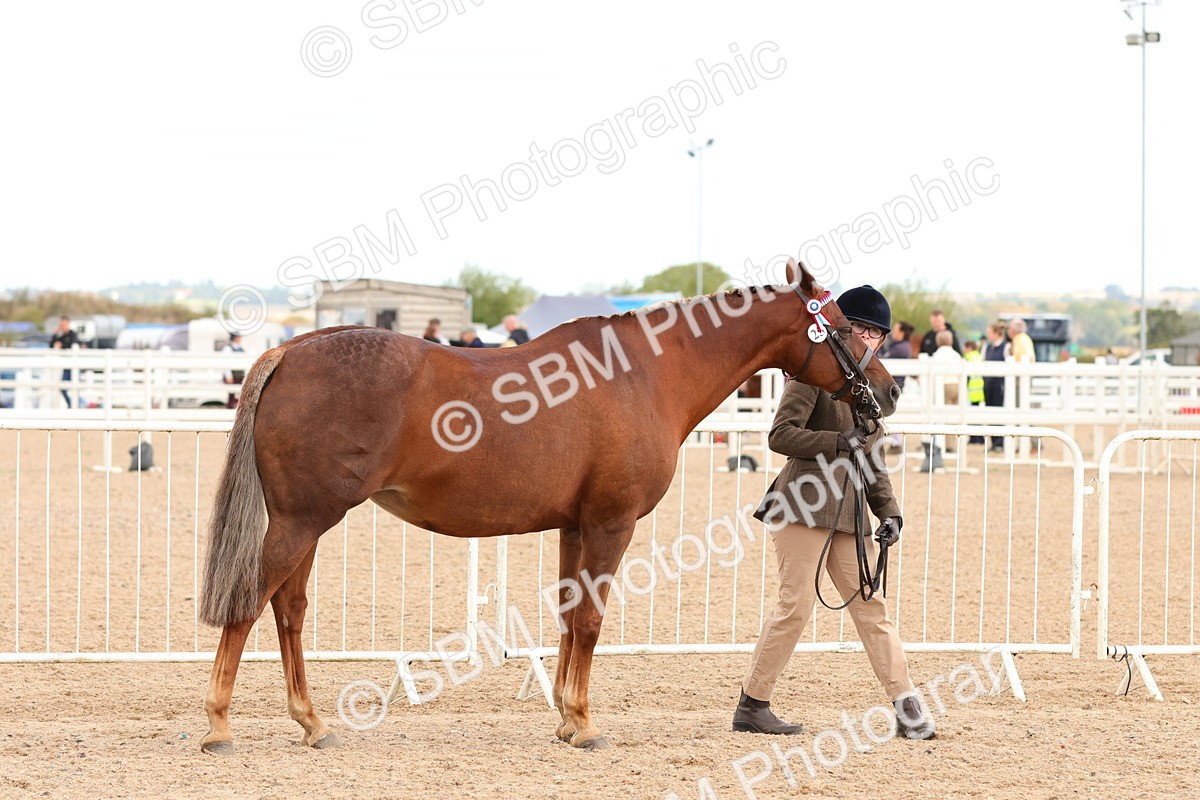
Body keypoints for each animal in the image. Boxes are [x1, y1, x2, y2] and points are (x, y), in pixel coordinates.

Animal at [197, 259, 900, 754]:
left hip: (308, 525)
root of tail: (289, 350)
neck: (647, 374)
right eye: (843, 328)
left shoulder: (574, 526)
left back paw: (313, 723)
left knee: (288, 612)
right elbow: (589, 620)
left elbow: (567, 616)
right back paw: (219, 727)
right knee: (249, 605)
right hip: (301, 523)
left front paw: (565, 716)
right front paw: (585, 724)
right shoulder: (611, 524)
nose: (887, 392)